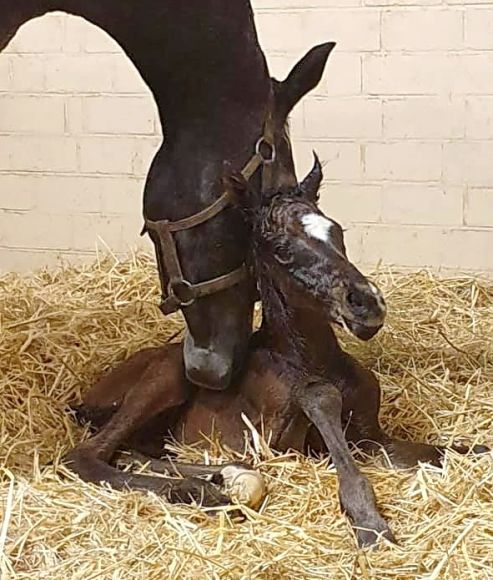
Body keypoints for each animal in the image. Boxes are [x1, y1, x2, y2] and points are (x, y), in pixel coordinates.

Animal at [67, 156, 486, 548]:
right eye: (281, 248)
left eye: (337, 231)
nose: (367, 303)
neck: (319, 361)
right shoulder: (291, 438)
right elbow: (326, 413)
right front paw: (371, 526)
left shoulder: (372, 437)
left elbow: (459, 452)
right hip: (168, 374)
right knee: (88, 455)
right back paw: (201, 492)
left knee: (136, 452)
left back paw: (224, 476)